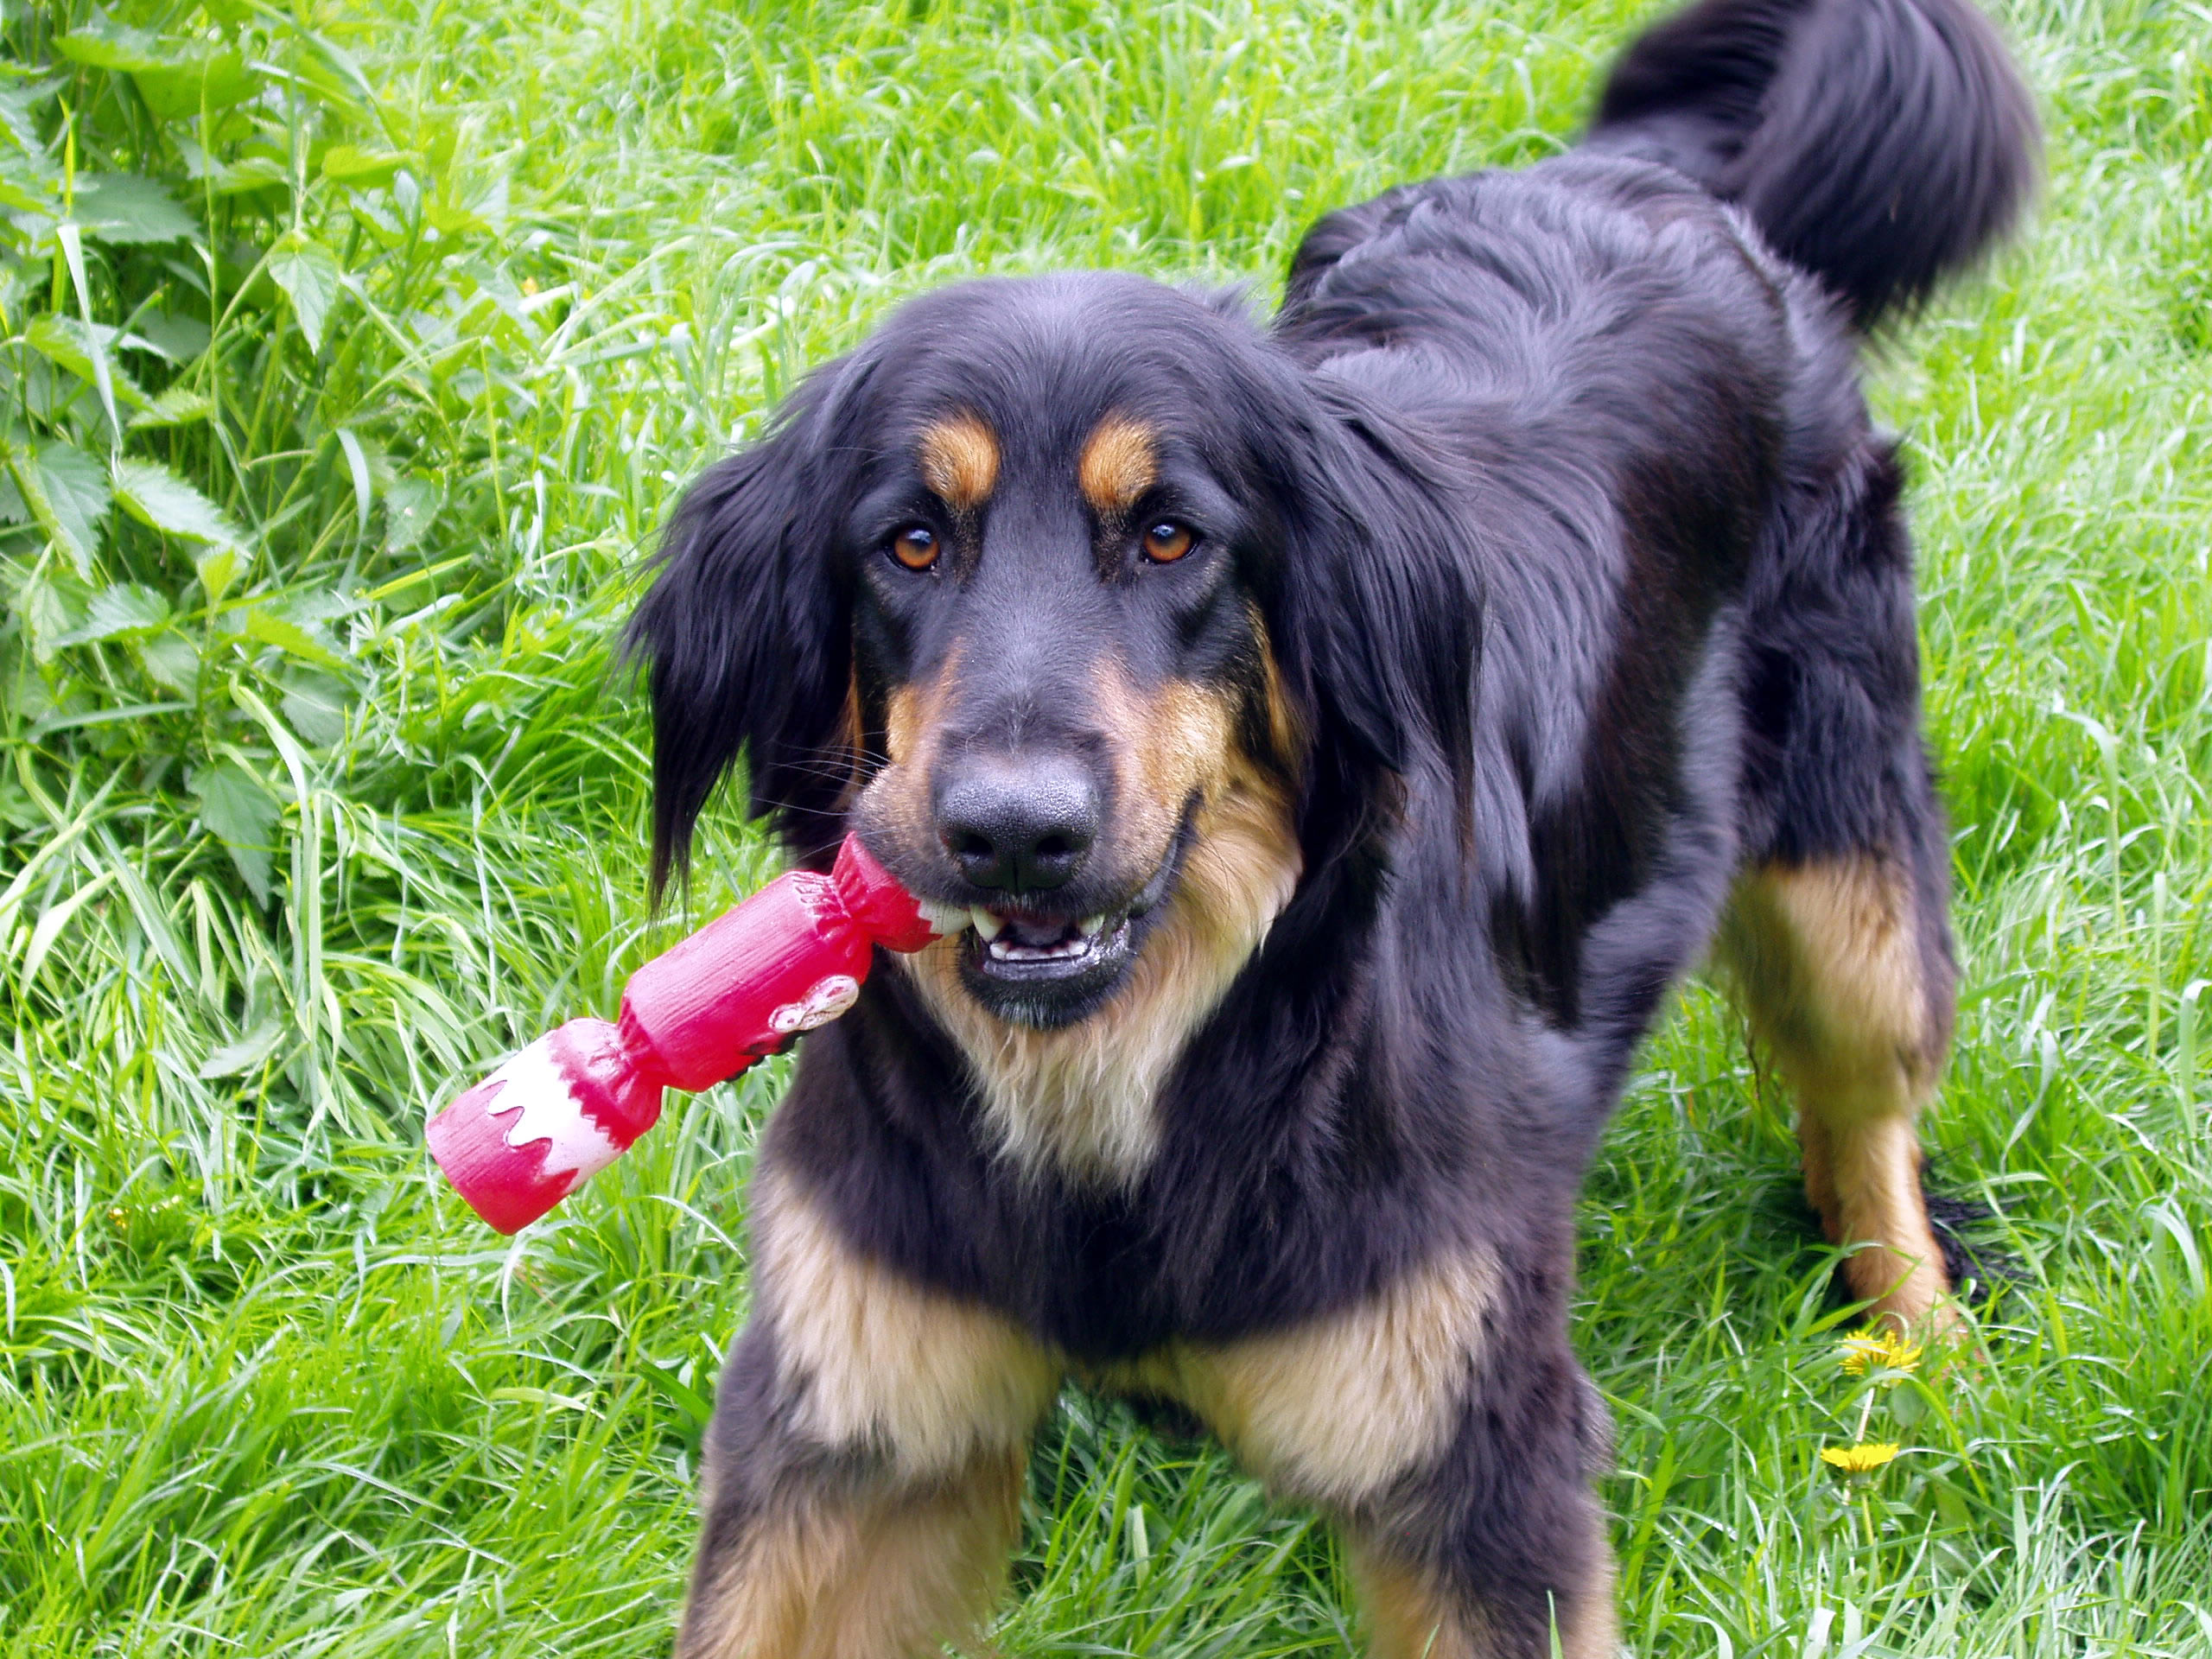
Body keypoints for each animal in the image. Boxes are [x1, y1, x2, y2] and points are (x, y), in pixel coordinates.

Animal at [628, 6, 2035, 1654]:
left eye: (1172, 536)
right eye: (909, 543)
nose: (1014, 835)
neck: (1129, 1084)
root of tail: (1643, 179)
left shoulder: (1473, 1457)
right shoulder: (855, 1424)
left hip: (1845, 866)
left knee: (1865, 1107)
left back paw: (1928, 1352)